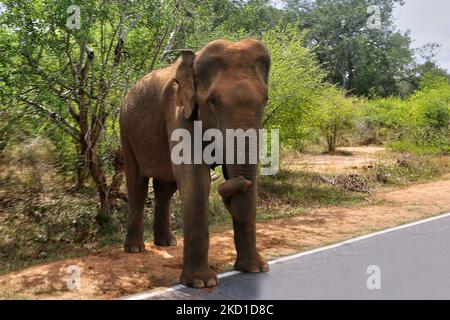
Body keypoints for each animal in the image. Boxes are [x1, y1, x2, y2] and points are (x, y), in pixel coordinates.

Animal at [119, 37, 270, 288]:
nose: (229, 189)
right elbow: (197, 180)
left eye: (266, 100)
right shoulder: (178, 110)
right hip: (126, 132)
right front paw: (201, 283)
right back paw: (134, 249)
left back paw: (167, 243)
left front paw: (256, 269)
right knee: (137, 185)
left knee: (165, 188)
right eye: (212, 101)